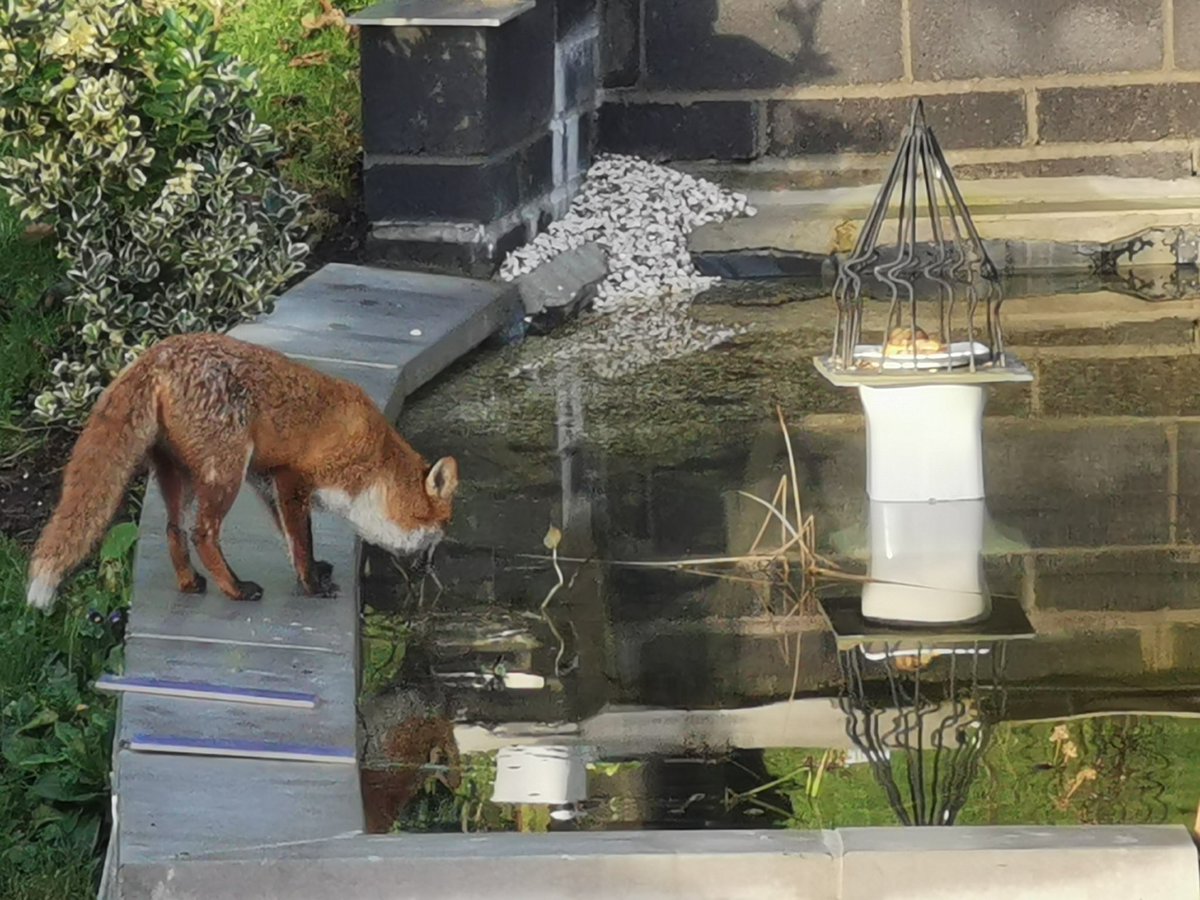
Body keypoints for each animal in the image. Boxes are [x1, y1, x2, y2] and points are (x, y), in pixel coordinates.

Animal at [25, 332, 459, 611]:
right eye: (441, 528)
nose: (432, 567)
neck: (375, 461)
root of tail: (161, 352)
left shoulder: (268, 482)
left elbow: (290, 540)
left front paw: (311, 572)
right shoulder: (292, 477)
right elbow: (302, 540)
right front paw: (312, 585)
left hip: (181, 475)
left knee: (173, 530)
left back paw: (190, 583)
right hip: (225, 473)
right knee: (202, 534)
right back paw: (235, 589)